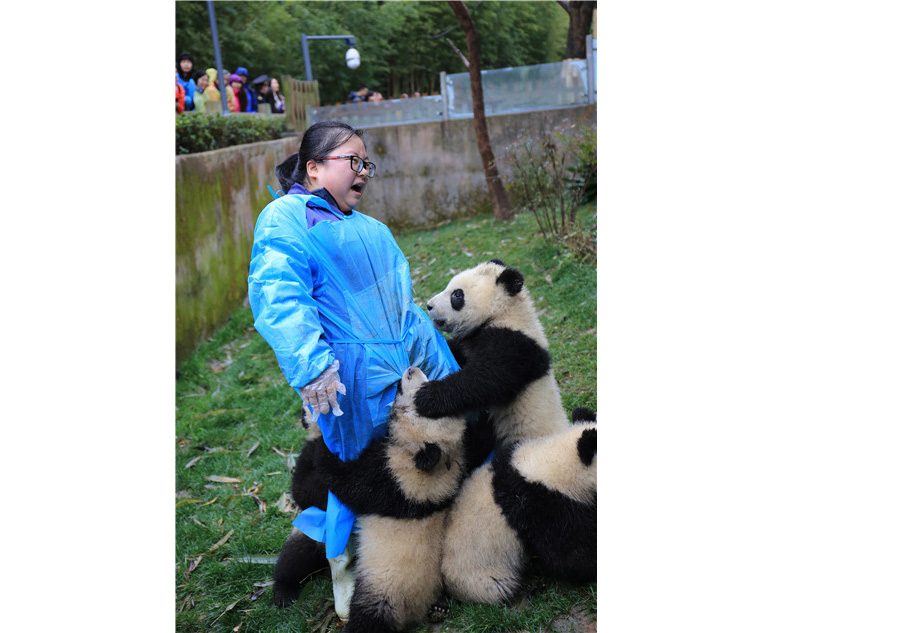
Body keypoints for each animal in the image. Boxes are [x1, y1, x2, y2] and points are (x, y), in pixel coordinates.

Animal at [310, 366, 470, 633]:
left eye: (418, 403)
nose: (411, 369)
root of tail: (414, 613)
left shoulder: (395, 481)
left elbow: (350, 483)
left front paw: (321, 449)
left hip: (382, 590)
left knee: (369, 617)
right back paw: (439, 609)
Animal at [415, 259, 569, 447]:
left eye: (457, 295)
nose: (429, 305)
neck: (503, 312)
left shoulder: (513, 345)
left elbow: (485, 378)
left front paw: (426, 396)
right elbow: (458, 351)